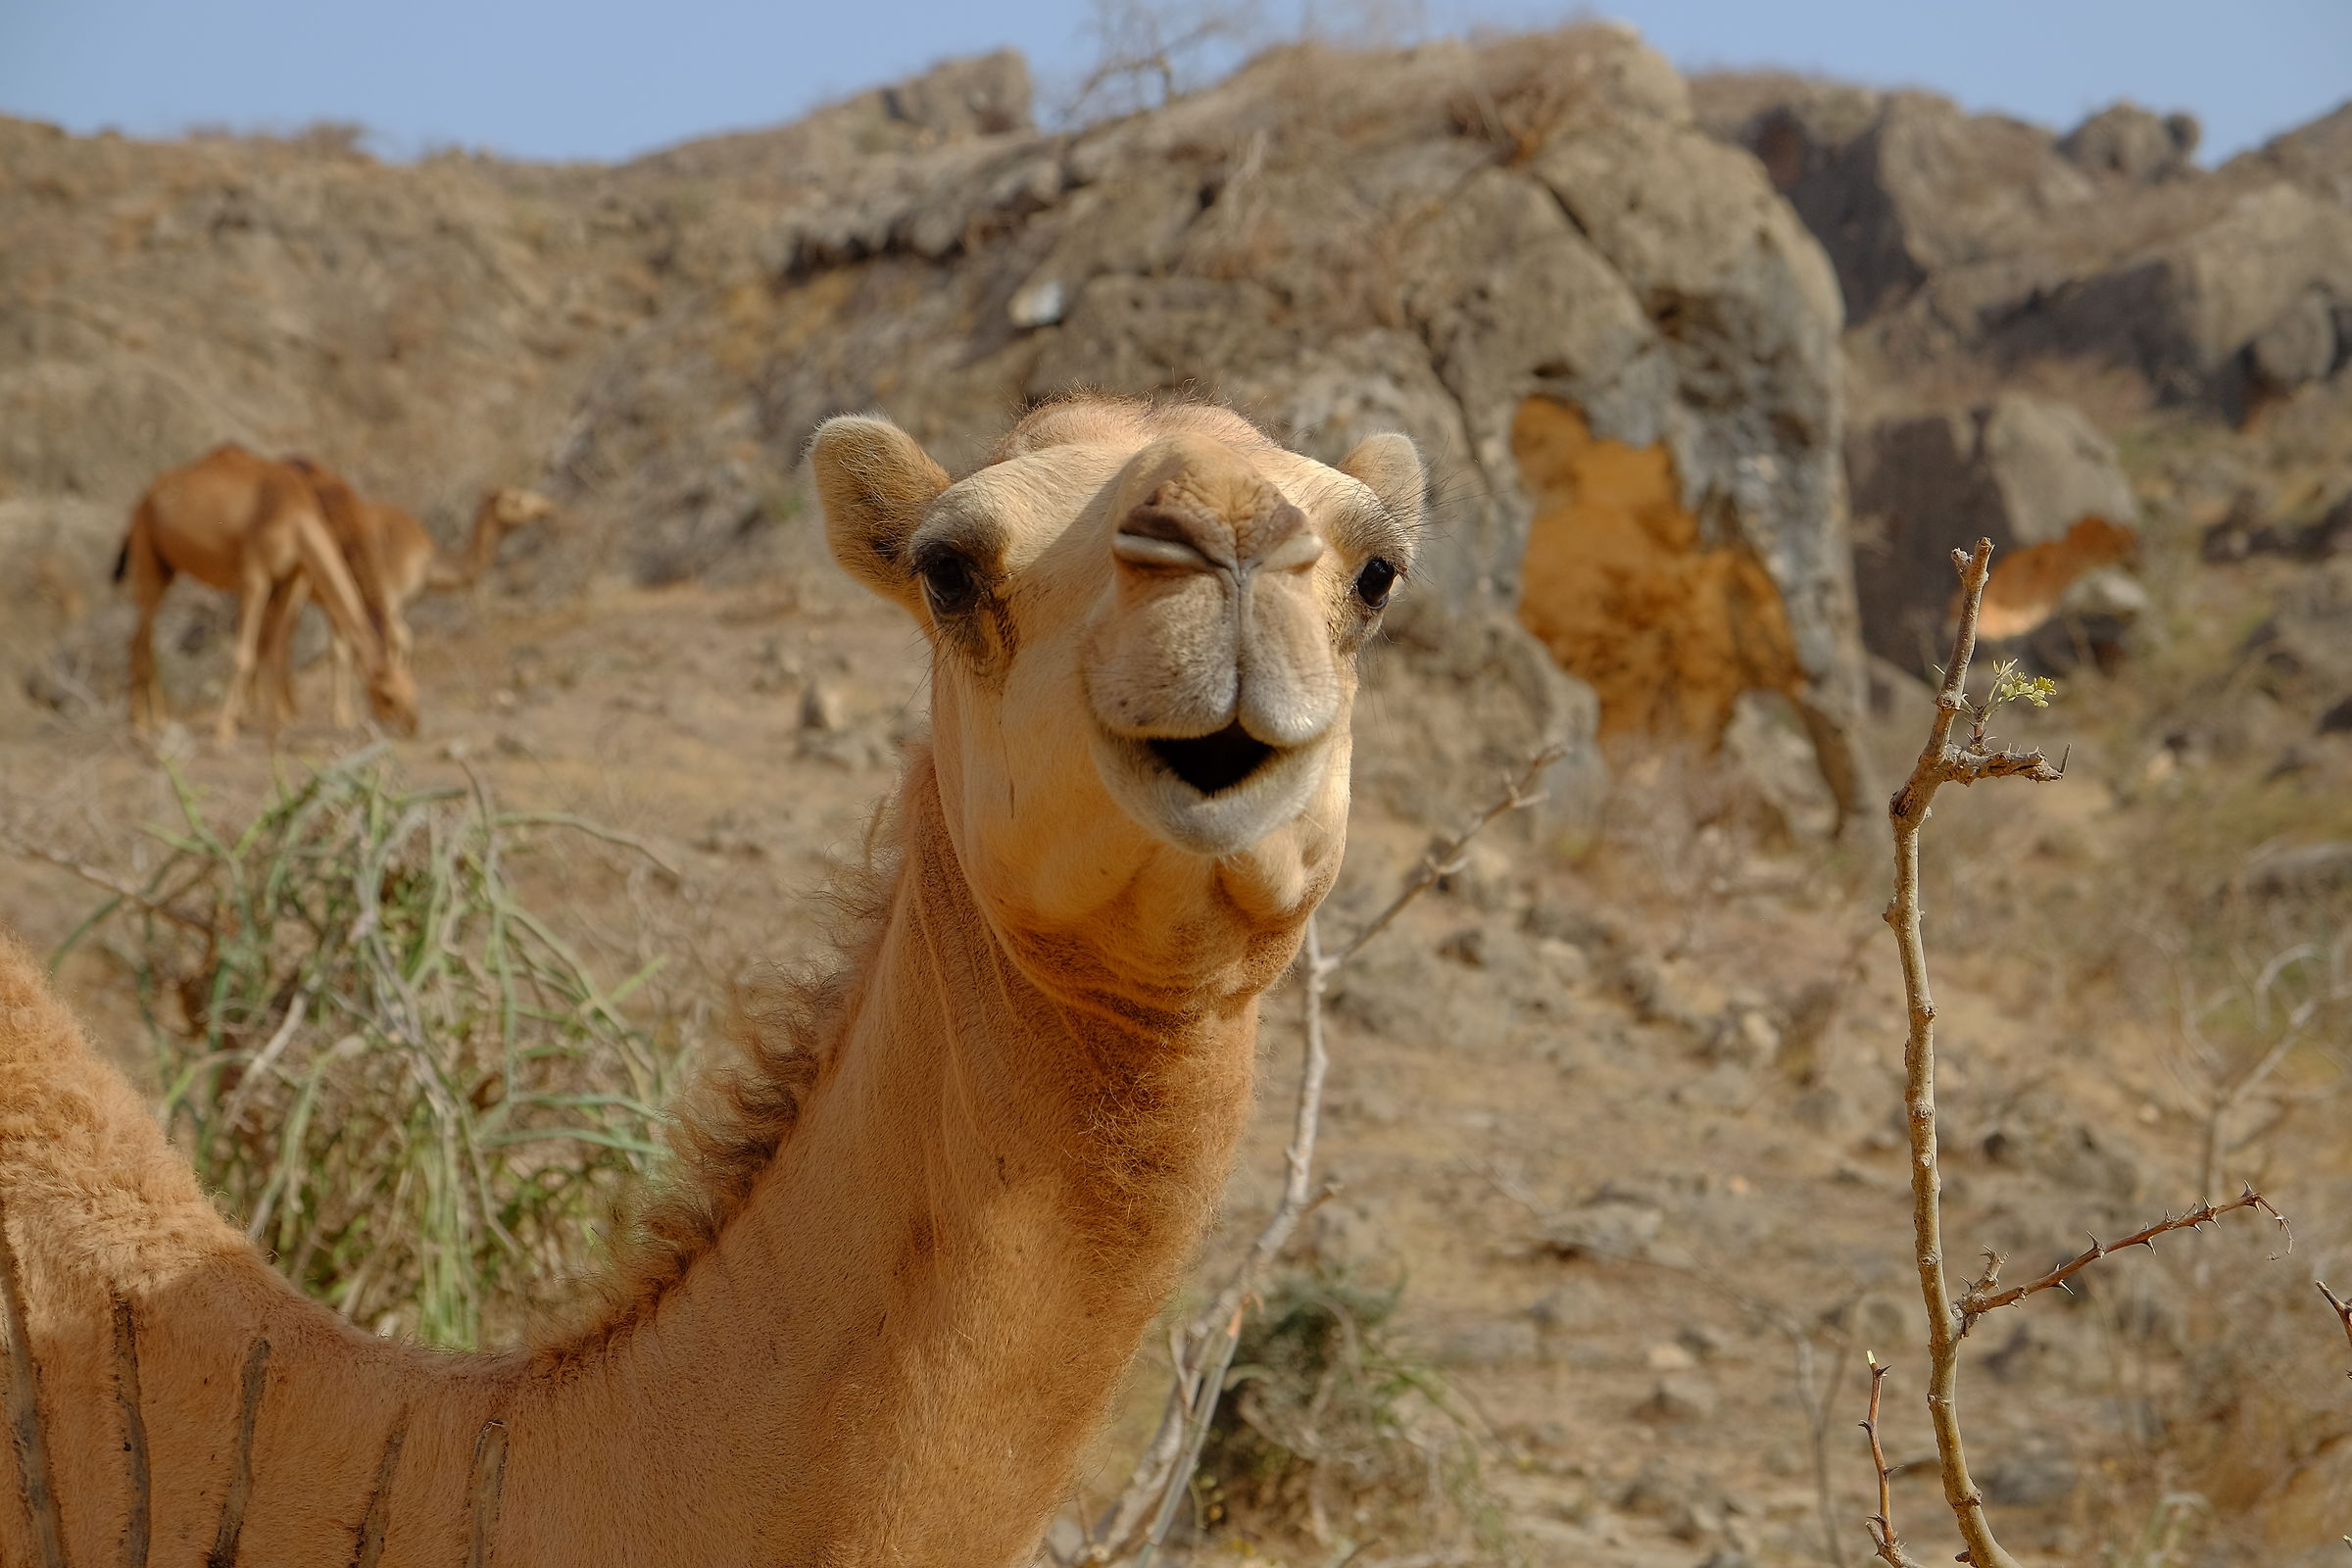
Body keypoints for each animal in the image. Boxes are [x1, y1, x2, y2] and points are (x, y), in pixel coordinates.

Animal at [115, 446, 420, 740]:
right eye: (388, 697)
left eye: (412, 690)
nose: (413, 726)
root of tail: (147, 495)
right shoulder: (257, 576)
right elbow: (248, 653)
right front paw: (225, 730)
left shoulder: (292, 577)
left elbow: (274, 648)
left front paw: (276, 727)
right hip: (147, 555)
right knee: (139, 640)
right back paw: (143, 724)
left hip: (167, 568)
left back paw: (158, 720)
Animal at [259, 464, 555, 726]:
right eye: (516, 500)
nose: (545, 507)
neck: (428, 561)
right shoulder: (390, 596)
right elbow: (400, 640)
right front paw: (354, 715)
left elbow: (358, 646)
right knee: (279, 635)